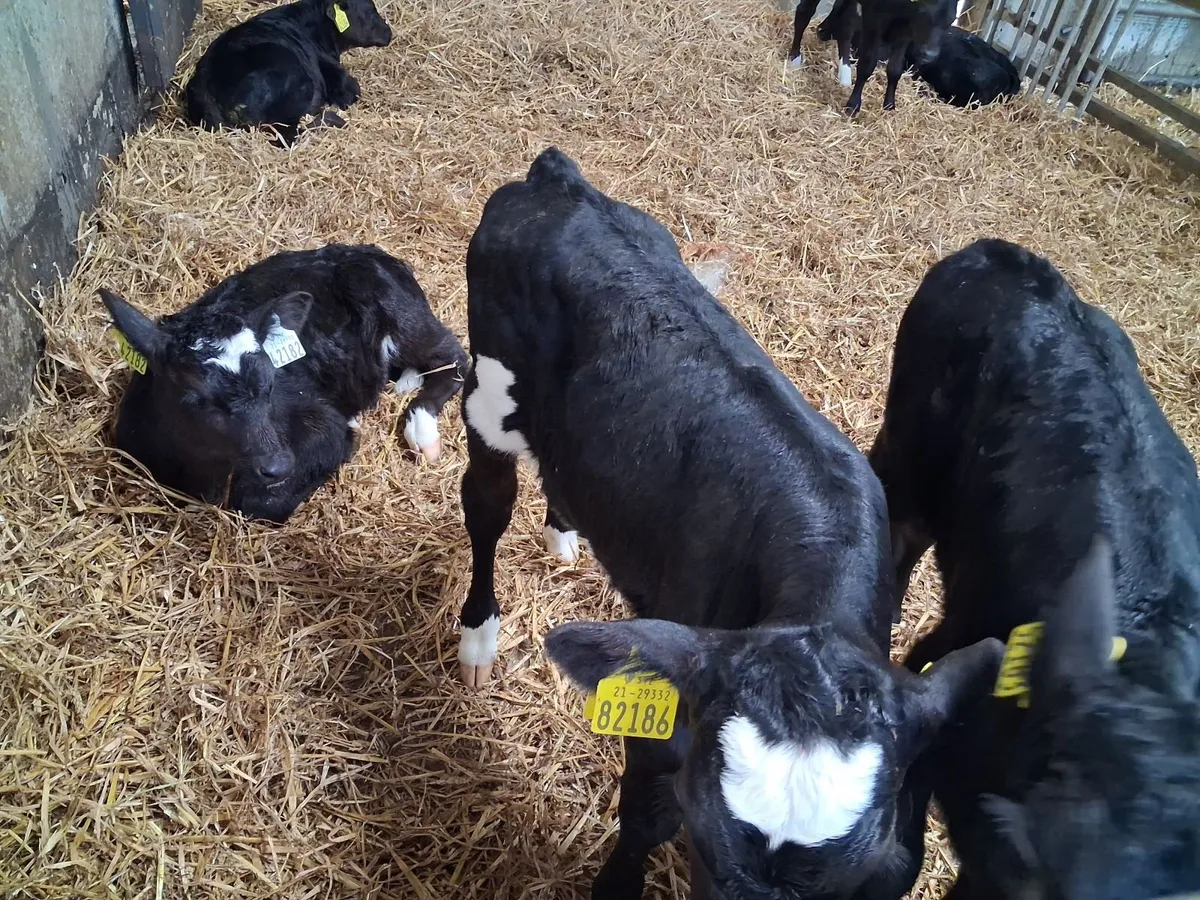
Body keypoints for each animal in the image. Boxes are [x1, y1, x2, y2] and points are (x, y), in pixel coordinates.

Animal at [100, 243, 467, 524]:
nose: (279, 464)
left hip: (404, 318)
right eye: (194, 398)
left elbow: (259, 502)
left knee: (455, 357)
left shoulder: (323, 425)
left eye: (270, 385)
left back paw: (423, 431)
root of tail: (368, 251)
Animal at [456, 147, 1003, 900]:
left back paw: (564, 529)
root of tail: (559, 180)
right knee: (486, 505)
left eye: (844, 880)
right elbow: (643, 820)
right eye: (706, 846)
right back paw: (478, 636)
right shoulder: (670, 709)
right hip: (489, 393)